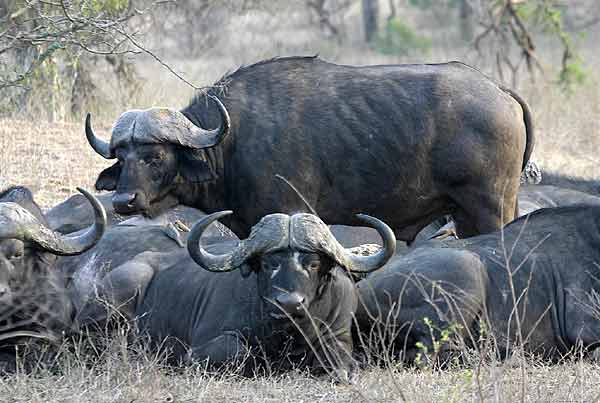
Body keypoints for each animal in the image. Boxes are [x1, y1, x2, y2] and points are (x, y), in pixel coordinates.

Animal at [78, 210, 398, 380]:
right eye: (268, 263)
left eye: (314, 263)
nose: (288, 303)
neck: (288, 333)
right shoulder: (203, 348)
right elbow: (240, 353)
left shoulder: (339, 336)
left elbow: (340, 363)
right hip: (126, 285)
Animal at [85, 55, 536, 241]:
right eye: (122, 156)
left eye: (155, 156)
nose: (124, 201)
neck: (232, 141)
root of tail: (497, 89)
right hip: (466, 213)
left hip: (490, 208)